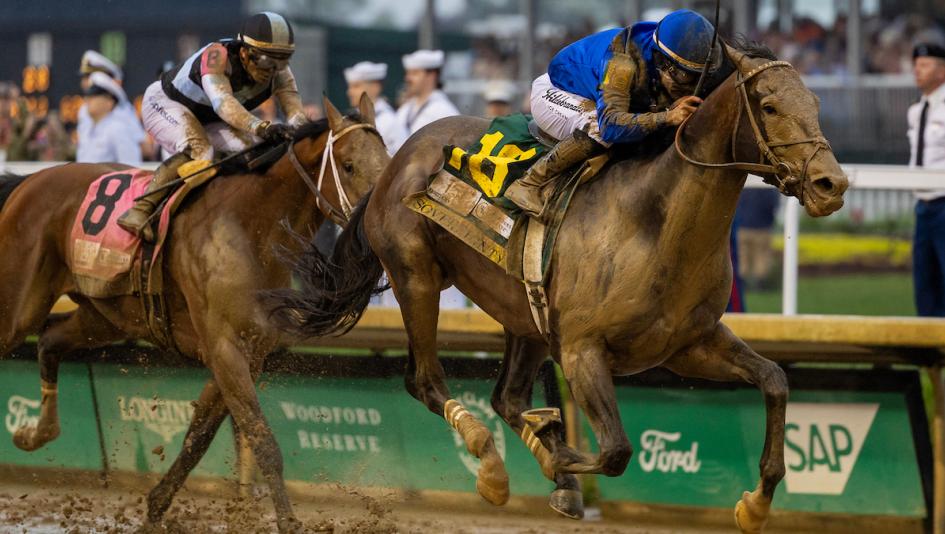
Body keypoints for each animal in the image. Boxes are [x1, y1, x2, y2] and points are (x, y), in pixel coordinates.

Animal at [0, 95, 389, 533]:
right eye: (349, 165)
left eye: (389, 158)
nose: (375, 221)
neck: (251, 225)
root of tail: (28, 182)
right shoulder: (224, 348)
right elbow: (263, 441)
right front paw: (289, 522)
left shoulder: (248, 353)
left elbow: (199, 436)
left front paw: (156, 506)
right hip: (18, 308)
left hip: (106, 315)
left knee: (50, 339)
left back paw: (36, 434)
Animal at [271, 42, 850, 532]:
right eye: (769, 106)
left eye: (816, 102)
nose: (832, 185)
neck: (654, 221)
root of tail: (397, 159)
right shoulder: (581, 350)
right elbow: (616, 450)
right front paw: (556, 450)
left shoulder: (688, 343)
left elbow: (774, 379)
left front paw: (756, 504)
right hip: (417, 276)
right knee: (426, 381)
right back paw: (493, 465)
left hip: (523, 314)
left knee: (505, 396)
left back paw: (551, 470)